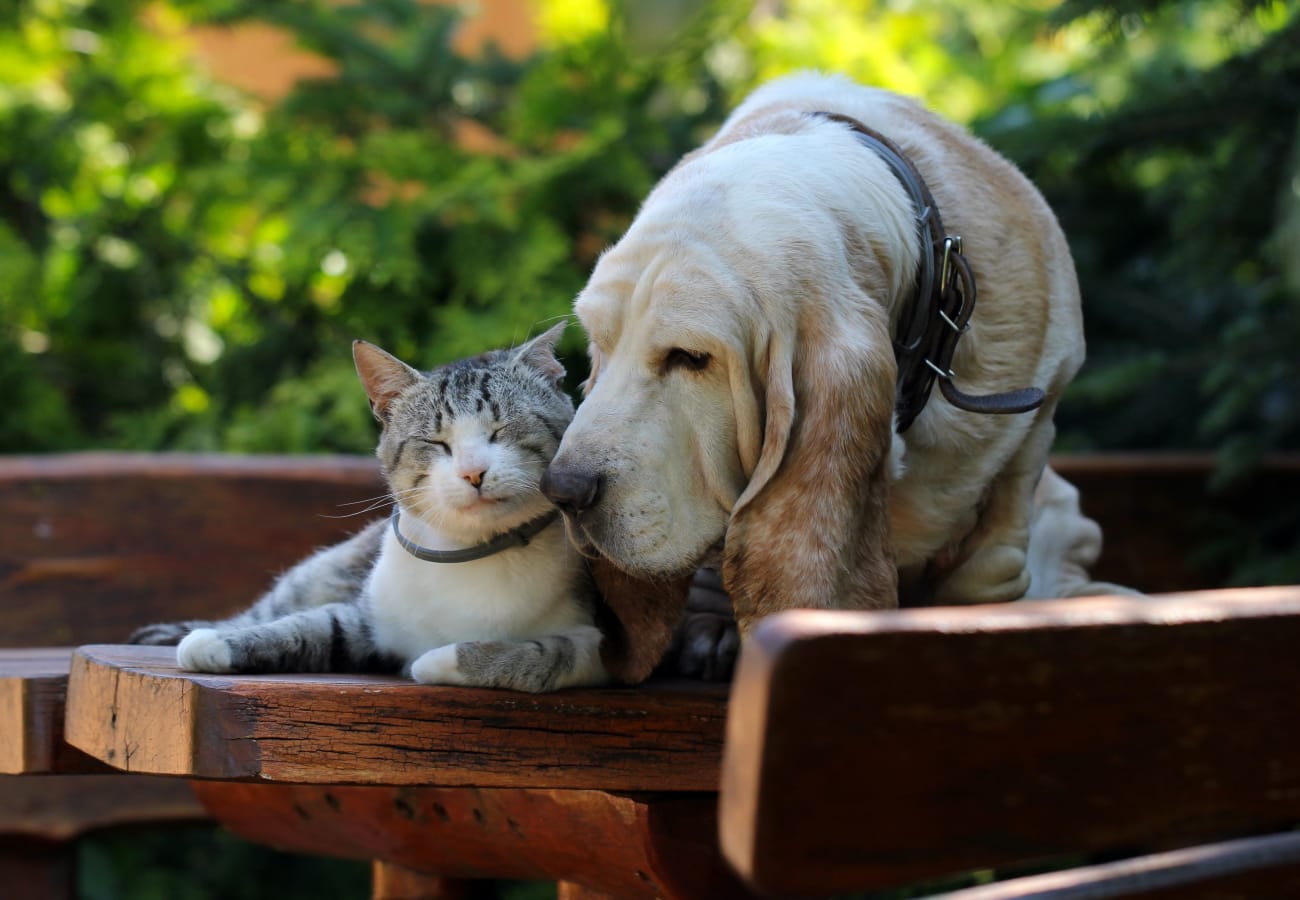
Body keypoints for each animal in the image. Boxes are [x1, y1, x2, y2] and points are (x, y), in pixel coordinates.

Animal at [129, 325, 605, 697]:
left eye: (502, 429)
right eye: (436, 442)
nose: (473, 472)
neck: (472, 552)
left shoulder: (601, 647)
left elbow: (543, 655)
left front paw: (435, 661)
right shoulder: (363, 618)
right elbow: (308, 626)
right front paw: (214, 643)